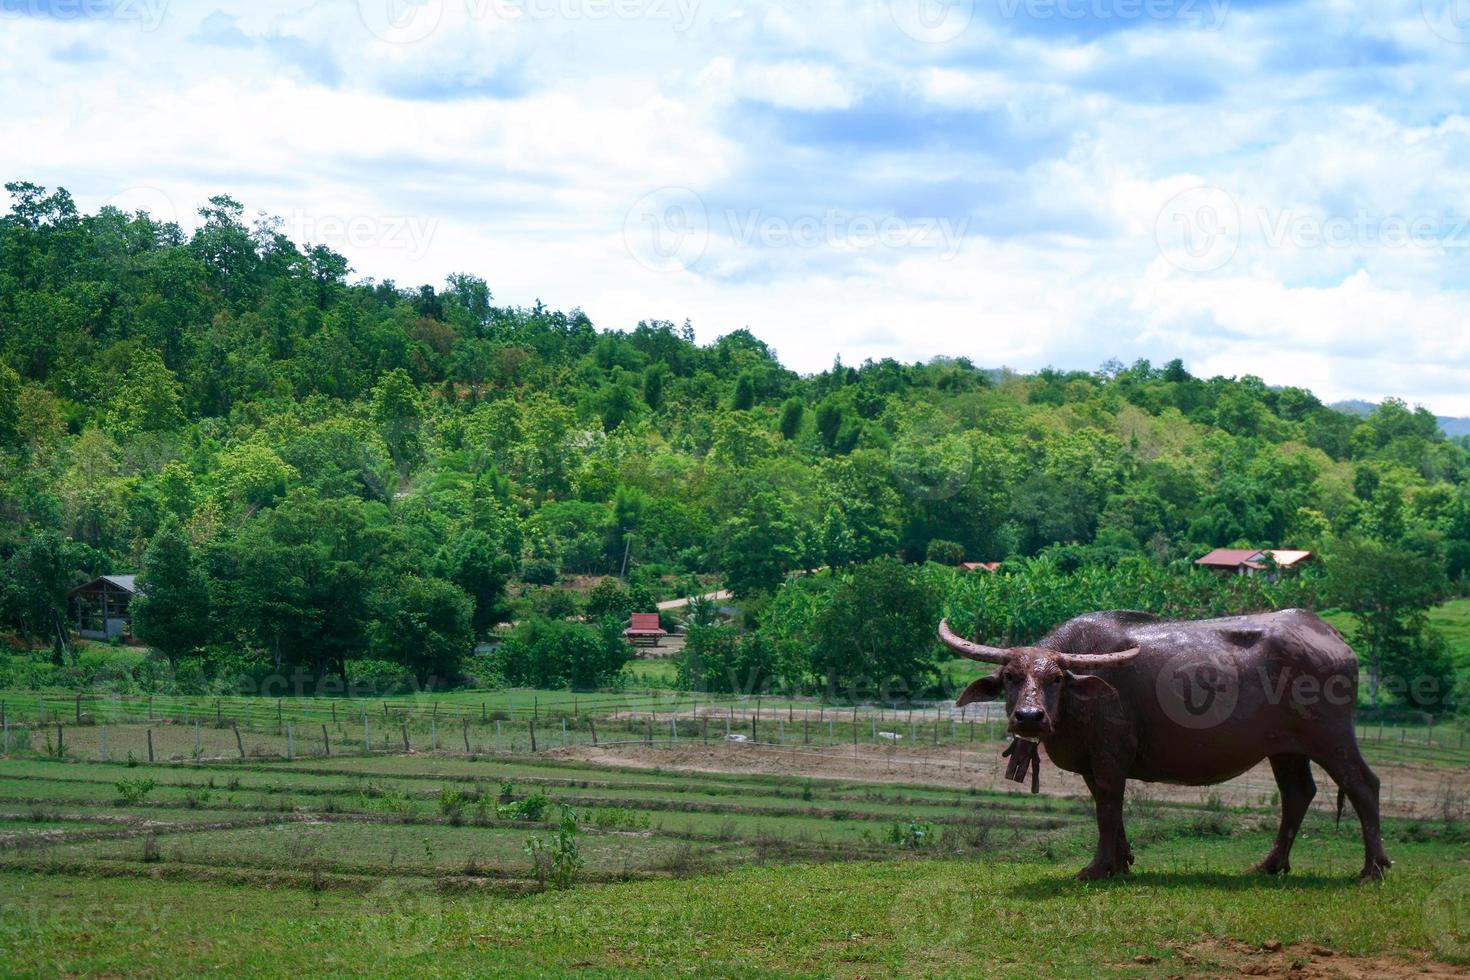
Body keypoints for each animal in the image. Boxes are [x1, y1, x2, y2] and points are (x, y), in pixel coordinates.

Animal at [934, 608, 1393, 887]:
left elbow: (1107, 810)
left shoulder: (1110, 757)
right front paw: (1121, 863)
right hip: (1285, 748)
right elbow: (1107, 809)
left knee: (1363, 786)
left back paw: (1372, 869)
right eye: (1010, 676)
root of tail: (1332, 636)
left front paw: (1096, 868)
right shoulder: (1094, 765)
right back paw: (1269, 865)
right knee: (1297, 794)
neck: (1081, 697)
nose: (1029, 717)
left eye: (1057, 679)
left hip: (1331, 737)